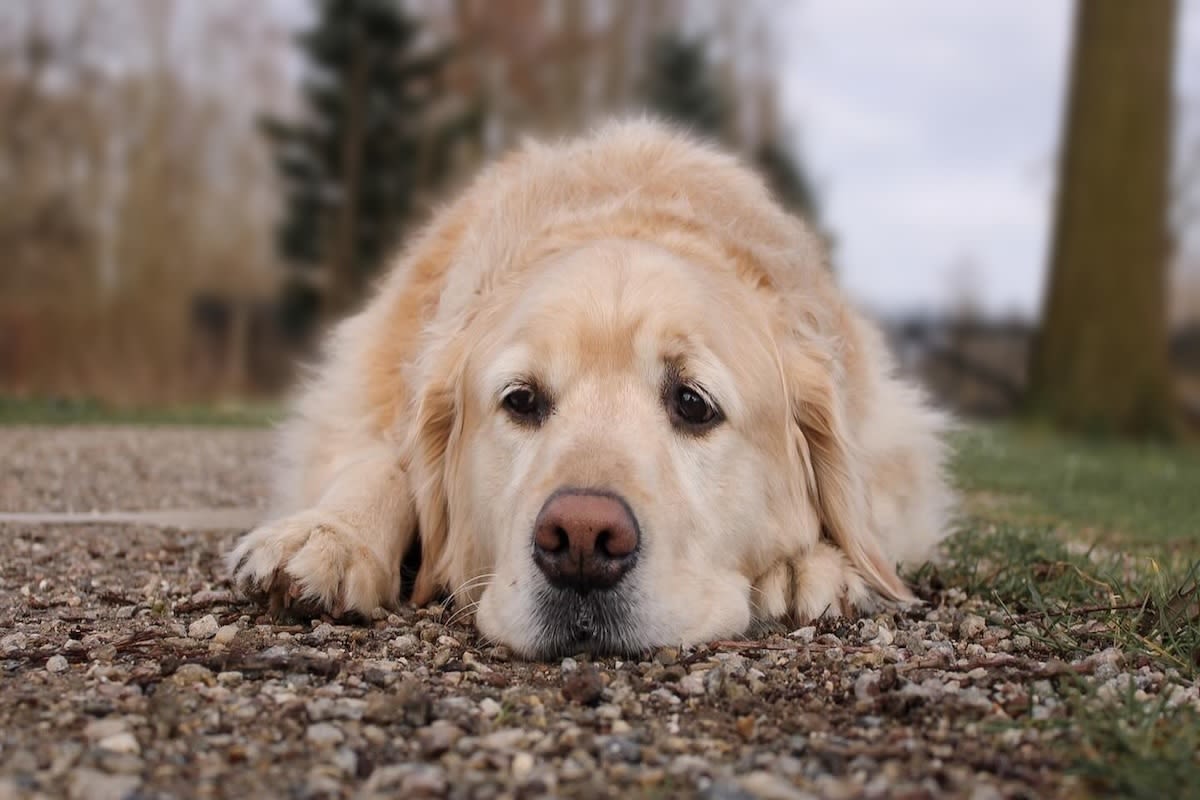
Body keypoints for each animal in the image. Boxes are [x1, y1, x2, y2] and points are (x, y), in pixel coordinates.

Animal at [229, 118, 950, 657]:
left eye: (693, 403)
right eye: (521, 400)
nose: (580, 540)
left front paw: (804, 564)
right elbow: (385, 461)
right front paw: (329, 534)